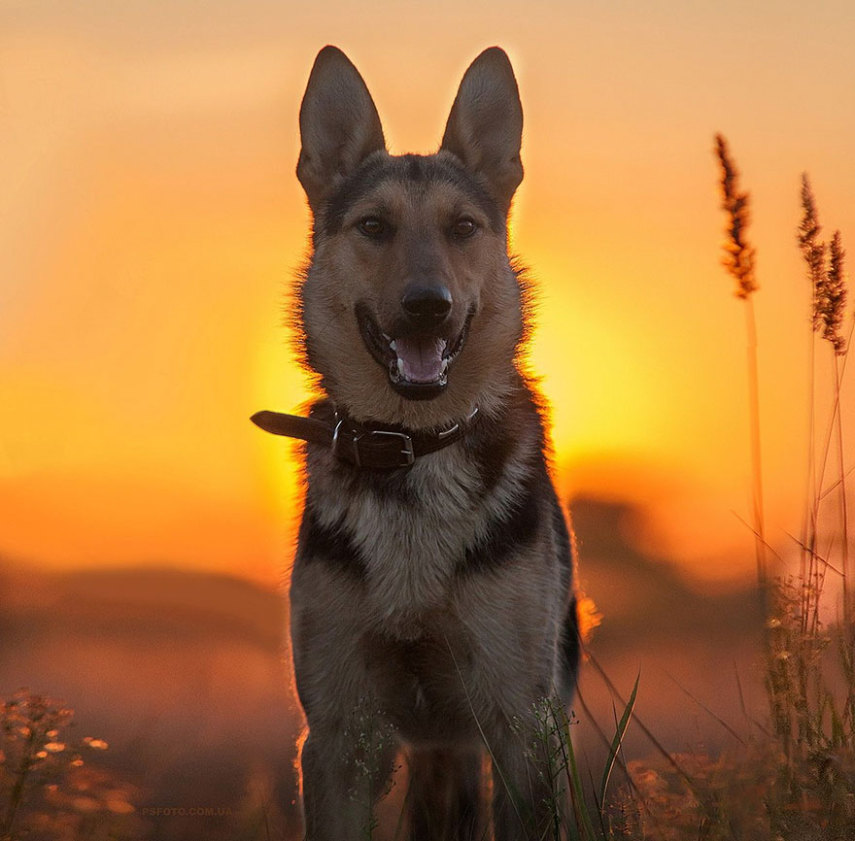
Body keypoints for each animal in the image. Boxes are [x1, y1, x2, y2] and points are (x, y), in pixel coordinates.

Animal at [251, 44, 580, 840]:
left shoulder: (521, 724)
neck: (412, 449)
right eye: (373, 226)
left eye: (463, 227)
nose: (428, 305)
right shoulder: (341, 734)